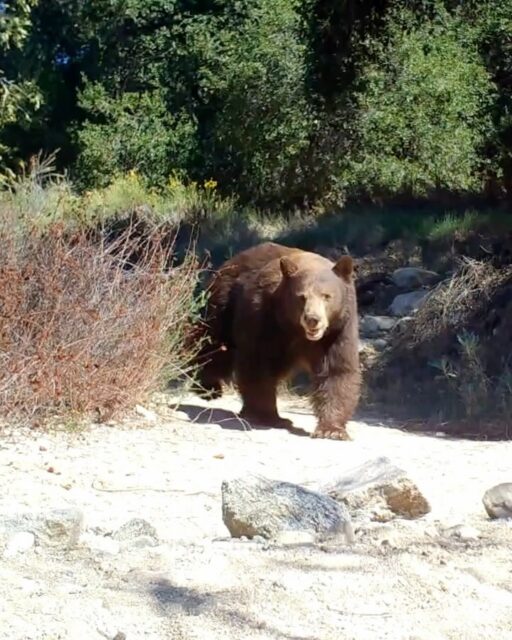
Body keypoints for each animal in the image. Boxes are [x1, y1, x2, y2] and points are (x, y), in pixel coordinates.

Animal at [191, 242, 360, 440]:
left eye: (327, 296)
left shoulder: (337, 331)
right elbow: (259, 362)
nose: (313, 319)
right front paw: (269, 416)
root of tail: (231, 261)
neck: (296, 329)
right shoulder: (266, 317)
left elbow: (336, 371)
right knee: (213, 344)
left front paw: (332, 430)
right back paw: (207, 386)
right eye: (301, 296)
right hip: (224, 304)